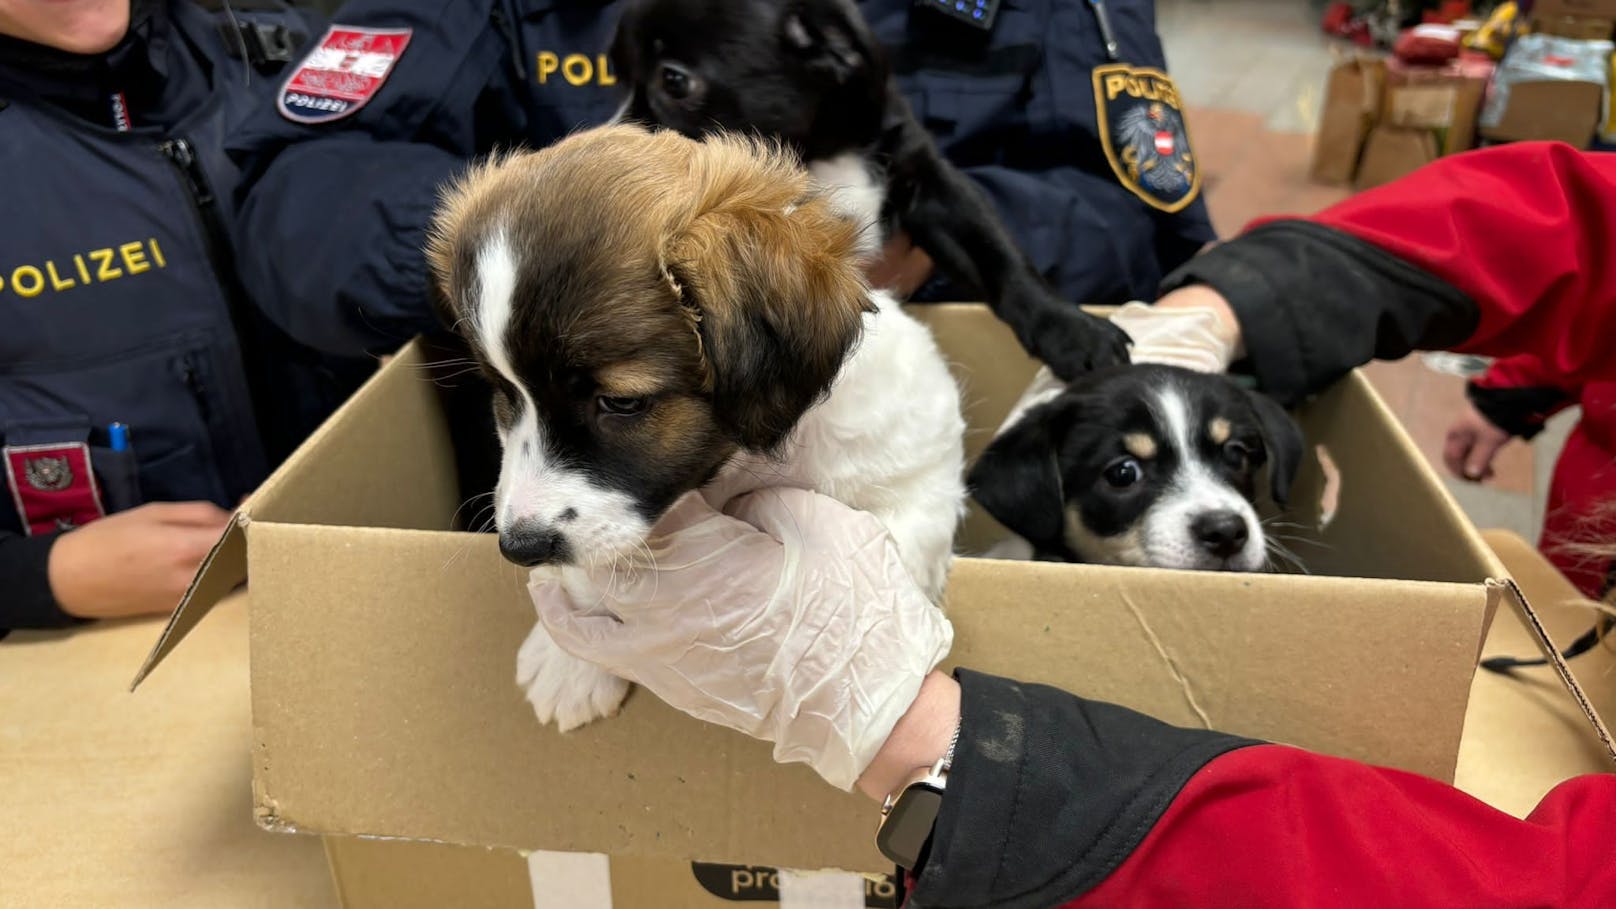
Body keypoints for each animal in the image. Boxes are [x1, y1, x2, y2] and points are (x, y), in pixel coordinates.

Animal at [423, 125, 963, 727]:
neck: (742, 466)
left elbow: (898, 551)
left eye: (621, 402)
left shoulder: (918, 472)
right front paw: (573, 662)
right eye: (503, 391)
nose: (520, 548)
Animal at [610, 0, 1131, 378]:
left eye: (673, 80)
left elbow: (999, 255)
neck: (825, 150)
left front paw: (1071, 331)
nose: (614, 136)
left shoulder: (936, 185)